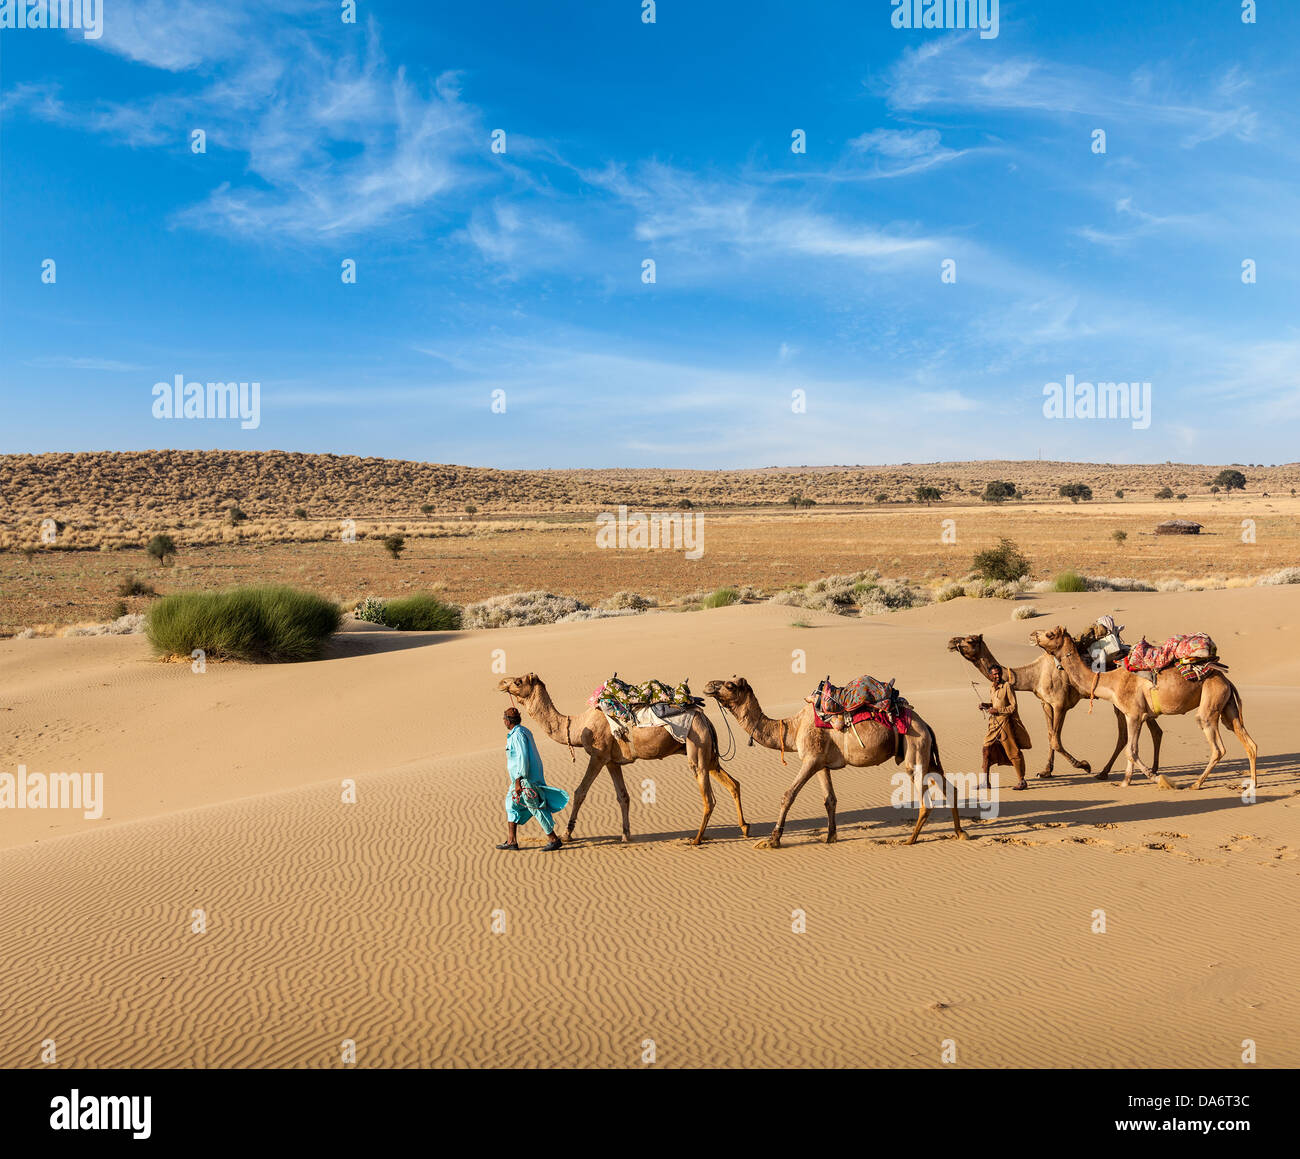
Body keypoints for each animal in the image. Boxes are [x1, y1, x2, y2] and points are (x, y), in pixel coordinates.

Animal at [493, 670, 754, 841]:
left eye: (518, 681)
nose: (500, 682)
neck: (577, 725)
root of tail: (705, 719)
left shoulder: (598, 756)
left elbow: (580, 792)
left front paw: (567, 834)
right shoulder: (612, 761)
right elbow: (623, 796)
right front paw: (626, 834)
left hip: (696, 746)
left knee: (708, 797)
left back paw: (697, 839)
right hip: (708, 753)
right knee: (733, 784)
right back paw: (744, 828)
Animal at [702, 675, 967, 847]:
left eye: (729, 684)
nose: (708, 685)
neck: (793, 728)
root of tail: (926, 725)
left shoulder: (810, 759)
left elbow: (788, 795)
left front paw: (772, 839)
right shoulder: (821, 763)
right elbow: (830, 799)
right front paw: (831, 837)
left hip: (915, 749)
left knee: (925, 800)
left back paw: (909, 840)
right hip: (927, 754)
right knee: (950, 789)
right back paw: (960, 832)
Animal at [946, 628, 1149, 784]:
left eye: (970, 640)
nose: (951, 642)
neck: (1035, 675)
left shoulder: (1060, 704)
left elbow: (1056, 740)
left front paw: (1083, 765)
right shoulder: (1046, 704)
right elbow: (1050, 735)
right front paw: (1045, 771)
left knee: (1124, 734)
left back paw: (1106, 772)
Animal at [1029, 628, 1253, 789]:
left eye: (1050, 634)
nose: (1032, 635)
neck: (1111, 681)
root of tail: (1226, 679)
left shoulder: (1134, 714)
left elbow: (1132, 750)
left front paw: (1158, 779)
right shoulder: (1134, 715)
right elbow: (1130, 748)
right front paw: (1125, 781)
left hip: (1209, 705)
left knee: (1217, 747)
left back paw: (1196, 784)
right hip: (1227, 707)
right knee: (1248, 742)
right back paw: (1253, 784)